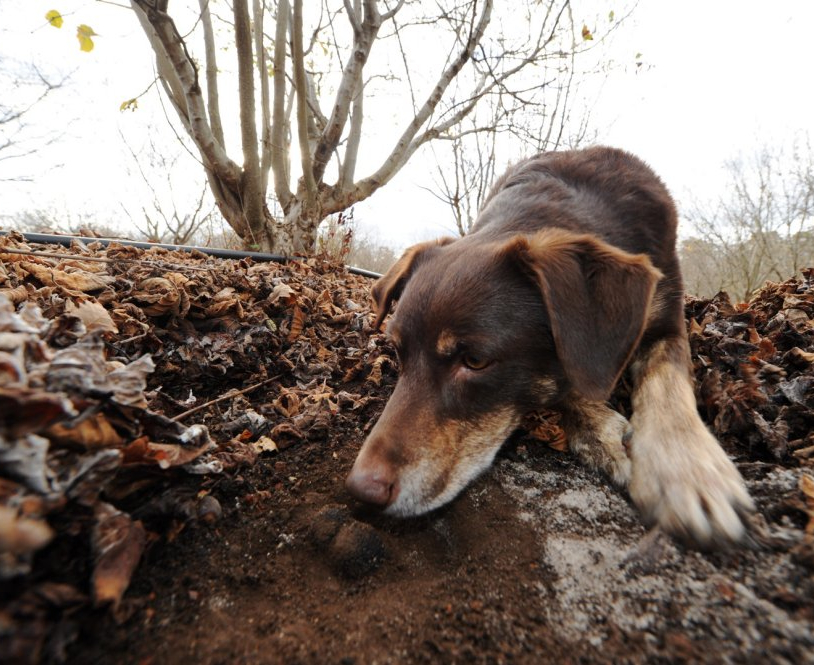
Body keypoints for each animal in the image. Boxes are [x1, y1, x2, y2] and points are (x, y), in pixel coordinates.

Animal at [348, 148, 756, 548]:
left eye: (475, 361)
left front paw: (687, 468)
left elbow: (666, 378)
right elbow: (571, 380)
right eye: (398, 352)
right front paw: (603, 432)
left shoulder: (668, 316)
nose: (361, 491)